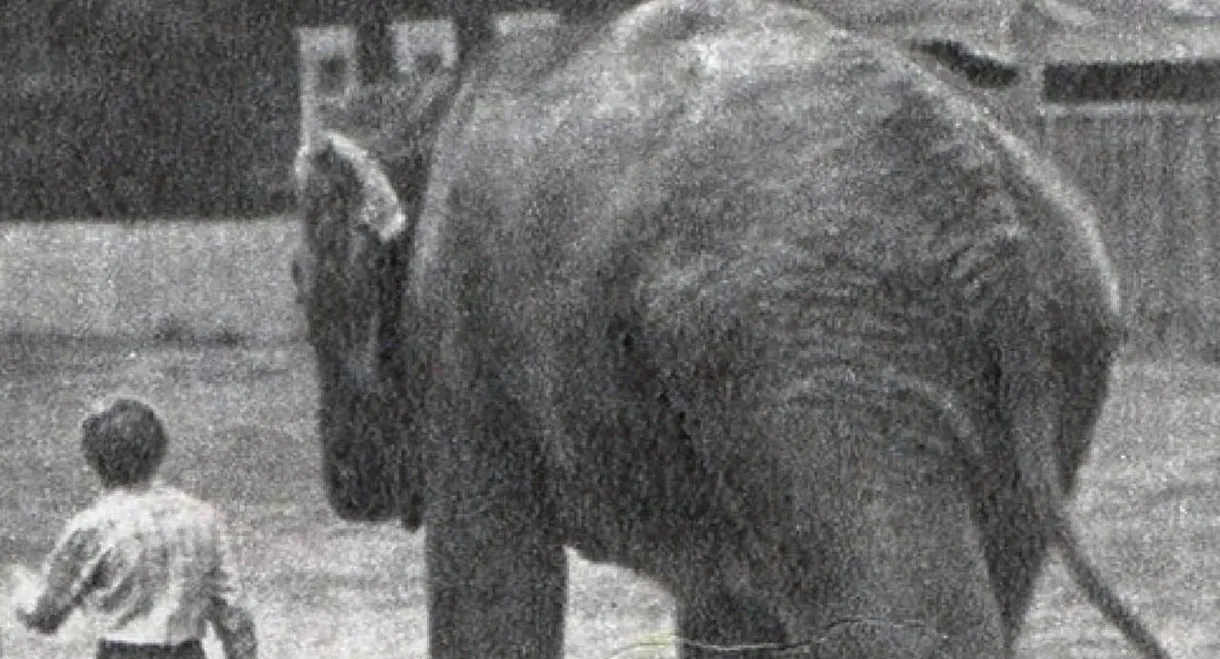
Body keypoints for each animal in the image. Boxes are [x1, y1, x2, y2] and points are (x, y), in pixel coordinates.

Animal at [290, 0, 1170, 657]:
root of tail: (984, 203)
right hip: (1052, 338)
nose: (343, 484)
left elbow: (493, 575)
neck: (422, 105)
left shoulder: (463, 335)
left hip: (815, 343)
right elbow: (730, 611)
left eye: (298, 286)